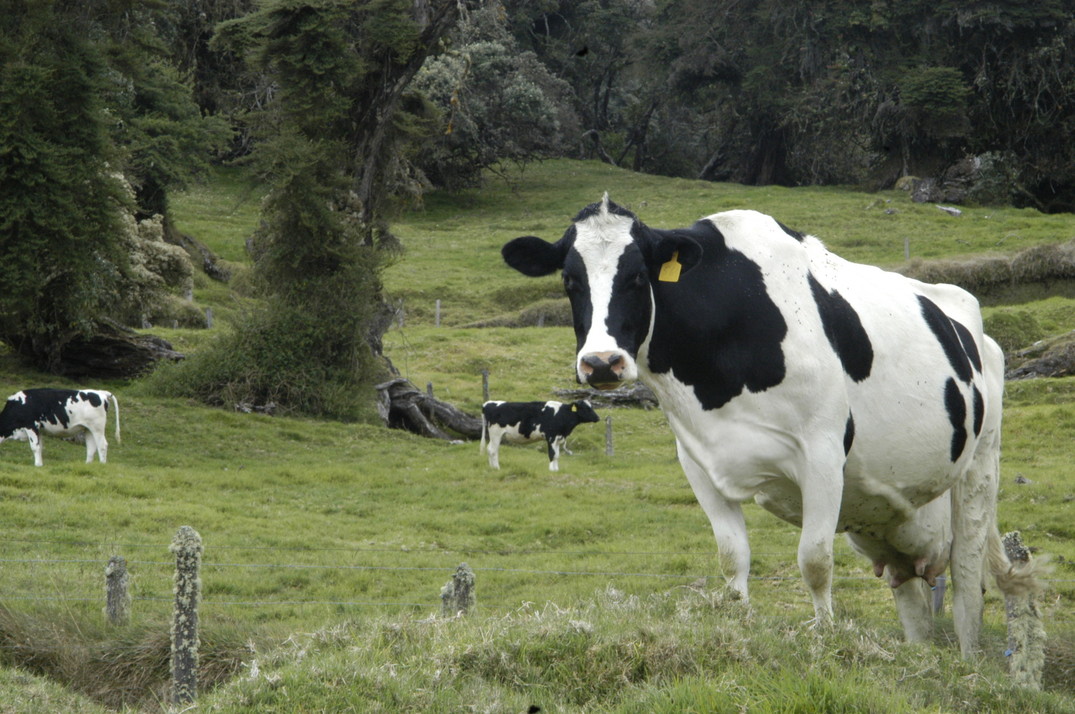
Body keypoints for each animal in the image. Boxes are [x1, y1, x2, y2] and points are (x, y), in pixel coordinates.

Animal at [503, 195, 1040, 658]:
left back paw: (968, 659)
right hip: (888, 512)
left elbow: (815, 561)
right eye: (569, 280)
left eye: (637, 277)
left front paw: (825, 639)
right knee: (910, 591)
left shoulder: (822, 452)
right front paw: (740, 627)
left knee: (967, 580)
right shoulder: (697, 461)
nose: (601, 363)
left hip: (979, 468)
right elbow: (732, 557)